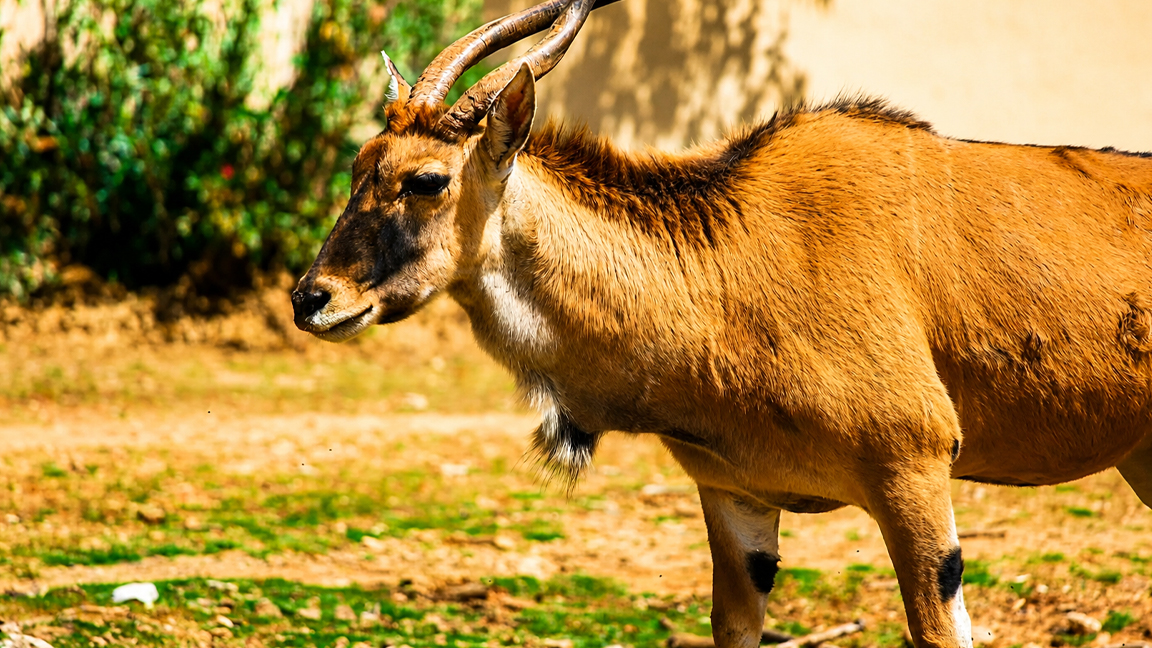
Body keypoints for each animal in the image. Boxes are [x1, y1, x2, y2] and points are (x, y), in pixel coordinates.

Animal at [290, 1, 1152, 646]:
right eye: (361, 165)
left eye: (426, 179)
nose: (312, 297)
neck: (729, 260)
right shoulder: (735, 501)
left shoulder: (913, 473)